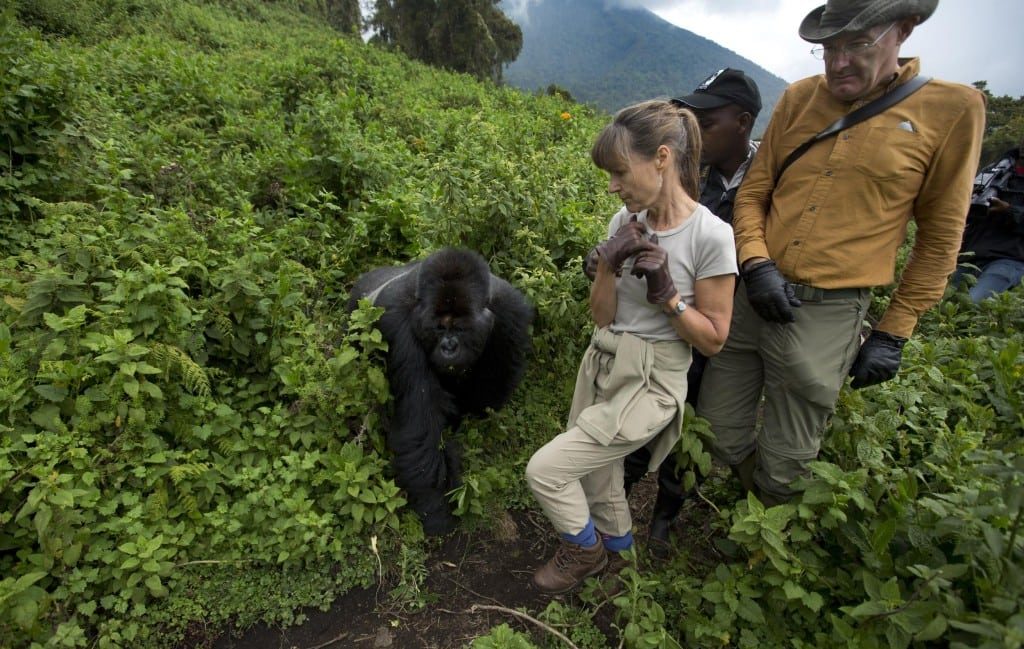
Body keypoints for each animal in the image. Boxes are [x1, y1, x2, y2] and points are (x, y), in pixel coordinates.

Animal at [346, 244, 532, 532]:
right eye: (439, 328)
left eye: (460, 328)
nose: (449, 348)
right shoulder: (398, 323)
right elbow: (420, 426)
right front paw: (436, 508)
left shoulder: (510, 313)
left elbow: (490, 392)